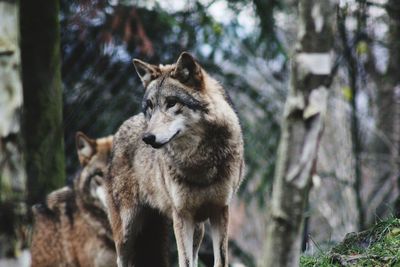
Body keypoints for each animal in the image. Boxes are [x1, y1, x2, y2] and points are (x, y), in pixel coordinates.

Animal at [105, 52, 244, 267]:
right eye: (150, 106)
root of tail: (121, 129)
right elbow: (184, 261)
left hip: (197, 229)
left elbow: (220, 260)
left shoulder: (220, 210)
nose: (147, 138)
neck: (199, 161)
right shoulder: (182, 216)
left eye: (171, 103)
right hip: (127, 232)